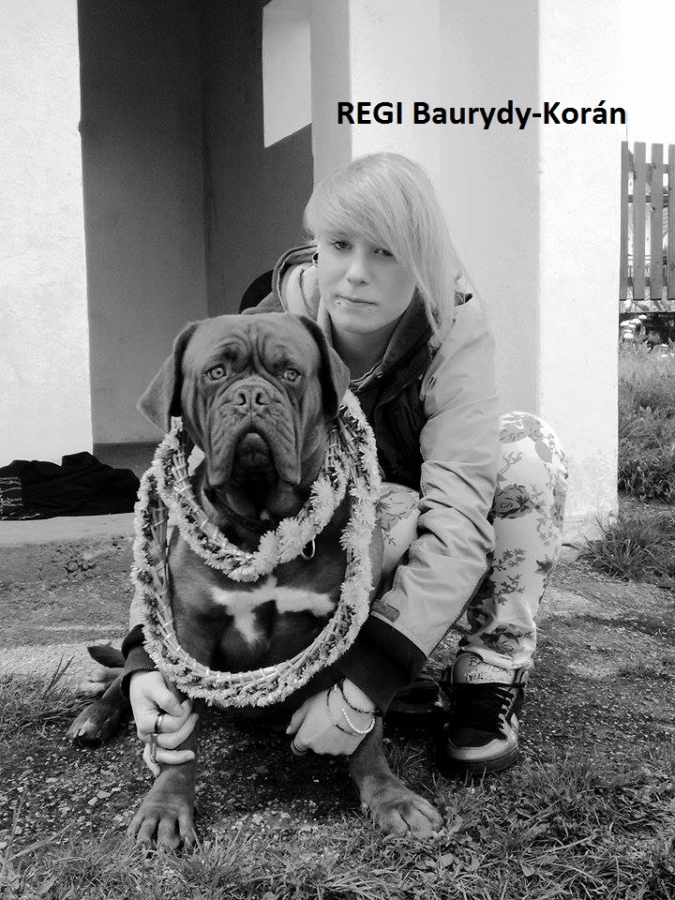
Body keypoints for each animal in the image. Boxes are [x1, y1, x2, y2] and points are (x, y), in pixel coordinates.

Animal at [69, 312, 443, 848]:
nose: (250, 396)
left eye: (290, 374)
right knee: (128, 675)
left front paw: (389, 797)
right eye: (215, 373)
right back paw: (96, 712)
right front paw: (166, 806)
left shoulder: (353, 627)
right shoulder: (189, 630)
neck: (264, 522)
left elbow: (363, 721)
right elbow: (176, 733)